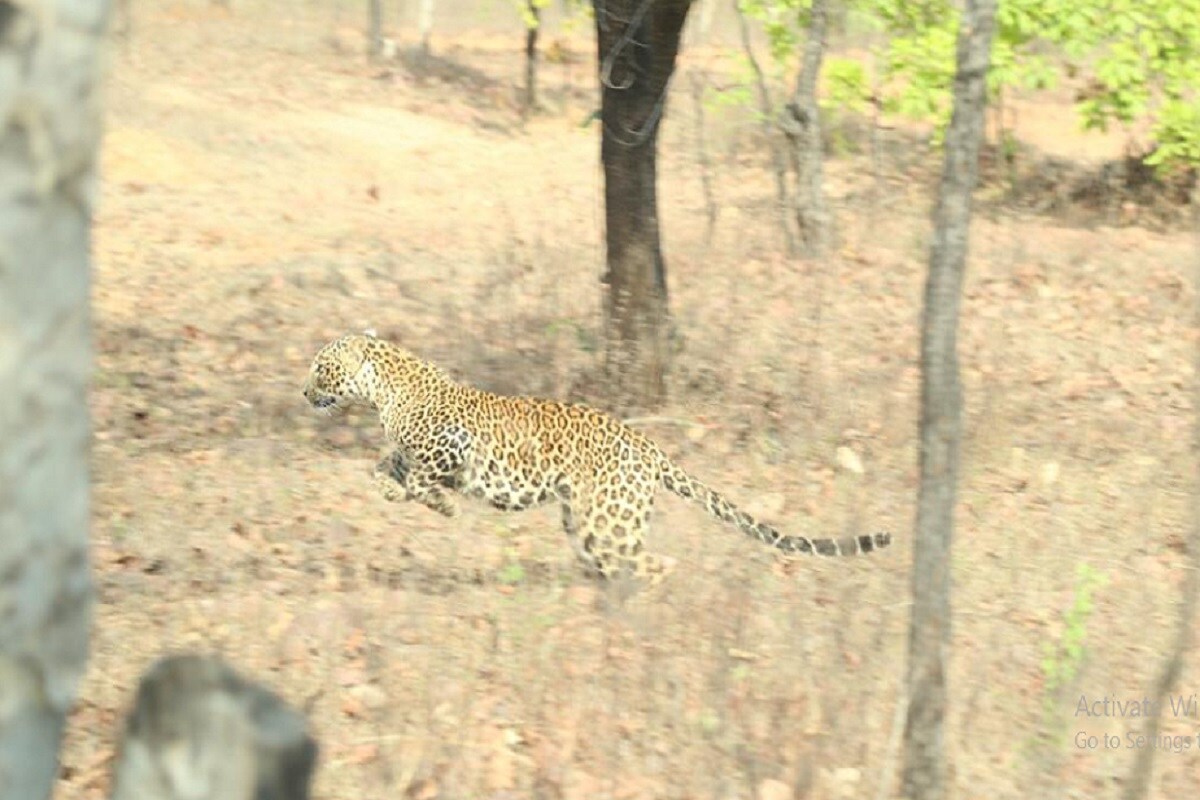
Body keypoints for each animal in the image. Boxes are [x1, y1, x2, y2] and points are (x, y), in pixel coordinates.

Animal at [302, 333, 891, 583]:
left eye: (320, 367)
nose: (303, 393)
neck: (382, 389)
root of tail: (649, 446)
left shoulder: (451, 447)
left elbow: (426, 480)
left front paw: (442, 507)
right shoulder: (414, 452)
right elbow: (386, 467)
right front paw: (389, 488)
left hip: (608, 520)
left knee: (653, 564)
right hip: (586, 522)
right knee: (621, 563)